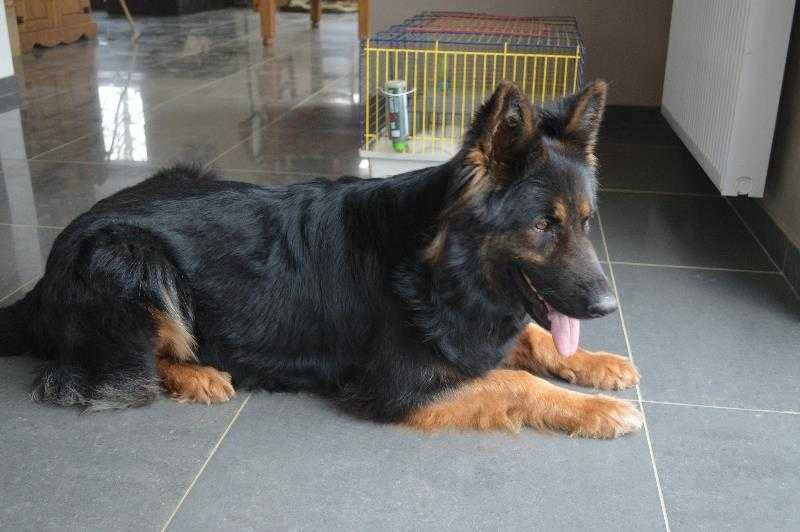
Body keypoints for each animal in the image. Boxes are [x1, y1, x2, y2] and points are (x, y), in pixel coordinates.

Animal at [0, 80, 642, 438]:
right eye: (542, 227)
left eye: (585, 222)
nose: (608, 307)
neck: (440, 267)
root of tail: (42, 279)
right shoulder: (400, 386)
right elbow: (517, 382)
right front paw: (598, 411)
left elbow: (534, 340)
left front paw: (598, 363)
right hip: (128, 256)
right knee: (117, 369)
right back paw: (197, 374)